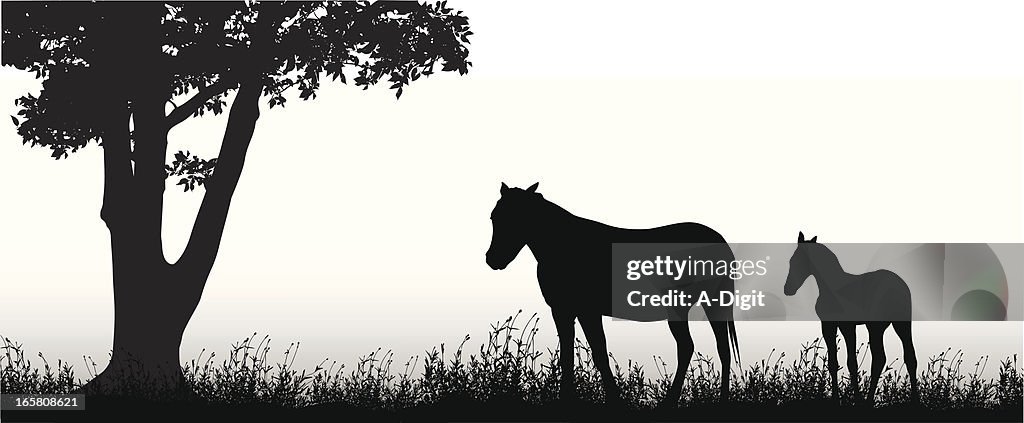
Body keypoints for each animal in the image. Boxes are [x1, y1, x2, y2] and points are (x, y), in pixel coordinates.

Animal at [485, 182, 739, 405]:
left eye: (518, 218)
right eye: (494, 218)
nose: (493, 259)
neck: (563, 246)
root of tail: (720, 242)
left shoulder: (586, 311)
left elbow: (598, 353)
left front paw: (614, 401)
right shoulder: (563, 310)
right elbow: (568, 353)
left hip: (682, 306)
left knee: (688, 347)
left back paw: (670, 404)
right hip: (711, 304)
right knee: (722, 349)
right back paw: (721, 402)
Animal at [784, 232, 919, 403]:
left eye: (795, 260)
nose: (788, 289)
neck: (831, 287)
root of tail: (897, 288)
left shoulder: (842, 325)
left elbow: (849, 362)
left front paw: (853, 399)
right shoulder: (835, 325)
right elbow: (836, 363)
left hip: (875, 327)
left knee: (879, 358)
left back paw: (868, 401)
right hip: (901, 325)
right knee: (909, 357)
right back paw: (915, 401)